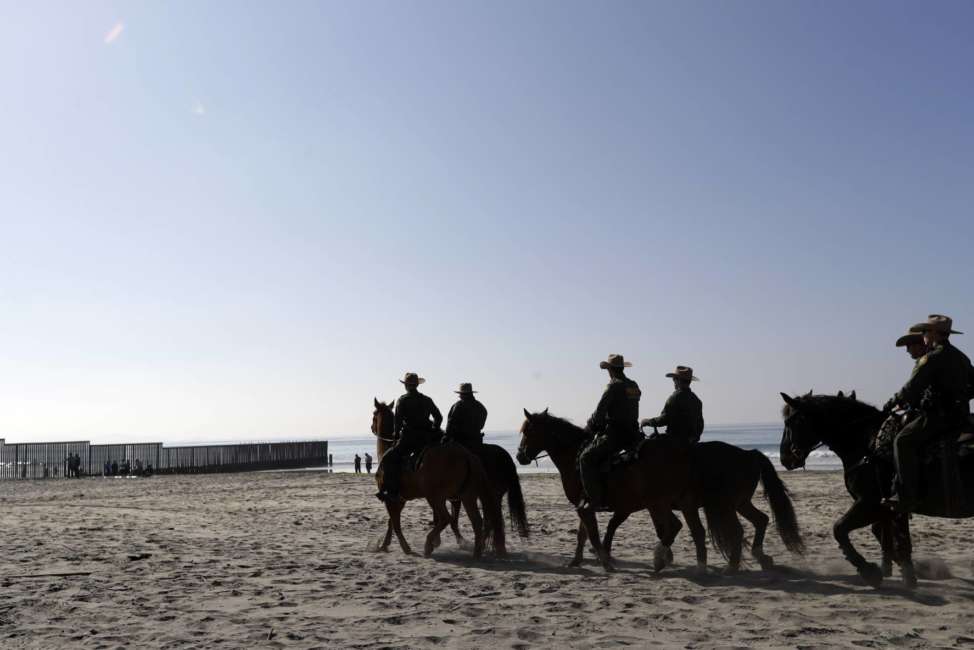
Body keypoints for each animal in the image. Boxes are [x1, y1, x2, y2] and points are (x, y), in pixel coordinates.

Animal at [370, 394, 500, 556]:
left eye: (374, 414)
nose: (372, 427)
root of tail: (466, 455)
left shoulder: (391, 498)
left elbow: (395, 522)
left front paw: (401, 547)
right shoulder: (400, 499)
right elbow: (391, 522)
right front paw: (386, 544)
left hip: (435, 497)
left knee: (446, 519)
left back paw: (429, 544)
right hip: (467, 496)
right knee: (475, 521)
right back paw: (476, 552)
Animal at [516, 408, 744, 568]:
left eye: (528, 431)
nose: (519, 456)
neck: (575, 455)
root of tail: (686, 453)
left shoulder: (590, 504)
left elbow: (591, 531)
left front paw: (596, 558)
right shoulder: (591, 504)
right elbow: (585, 532)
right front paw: (578, 560)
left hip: (659, 503)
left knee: (678, 527)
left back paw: (664, 560)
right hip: (673, 503)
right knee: (688, 530)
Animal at [604, 438, 808, 568]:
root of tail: (750, 454)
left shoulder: (659, 505)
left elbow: (681, 530)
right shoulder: (664, 506)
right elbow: (670, 530)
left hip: (727, 506)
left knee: (738, 530)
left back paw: (732, 566)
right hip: (740, 503)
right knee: (761, 519)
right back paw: (760, 556)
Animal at [780, 390, 974, 588]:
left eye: (790, 422)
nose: (784, 457)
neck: (867, 444)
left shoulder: (870, 504)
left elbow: (840, 529)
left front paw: (869, 571)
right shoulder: (890, 509)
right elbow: (896, 538)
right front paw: (906, 572)